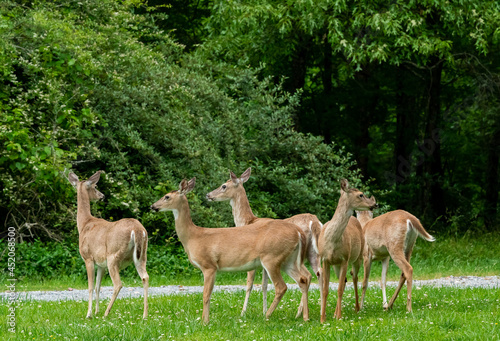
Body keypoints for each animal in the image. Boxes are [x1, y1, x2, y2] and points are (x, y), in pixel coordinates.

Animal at [67, 171, 148, 318]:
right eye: (95, 187)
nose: (102, 196)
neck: (84, 224)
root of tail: (138, 229)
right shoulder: (100, 264)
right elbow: (98, 286)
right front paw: (96, 311)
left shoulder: (88, 257)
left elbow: (90, 287)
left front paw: (89, 314)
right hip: (141, 254)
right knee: (145, 277)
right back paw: (145, 315)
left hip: (113, 255)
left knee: (118, 284)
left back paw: (106, 313)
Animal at [150, 178, 310, 324]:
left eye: (166, 196)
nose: (152, 206)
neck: (193, 237)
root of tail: (298, 232)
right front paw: (205, 320)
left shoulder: (209, 265)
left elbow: (206, 295)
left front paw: (205, 321)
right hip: (288, 260)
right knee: (302, 279)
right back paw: (304, 317)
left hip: (272, 258)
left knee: (281, 287)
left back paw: (267, 316)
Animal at [204, 167, 324, 316]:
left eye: (224, 186)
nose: (208, 195)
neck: (247, 221)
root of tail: (314, 222)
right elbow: (264, 285)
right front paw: (264, 310)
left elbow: (250, 284)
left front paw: (243, 312)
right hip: (313, 253)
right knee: (318, 273)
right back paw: (317, 311)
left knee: (307, 276)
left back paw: (300, 313)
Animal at [318, 178, 376, 322]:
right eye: (361, 194)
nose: (375, 204)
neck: (332, 241)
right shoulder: (325, 260)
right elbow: (326, 289)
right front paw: (323, 318)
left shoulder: (345, 258)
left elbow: (339, 289)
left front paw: (339, 317)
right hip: (336, 265)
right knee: (344, 281)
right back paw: (334, 313)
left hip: (358, 257)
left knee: (354, 278)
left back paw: (356, 308)